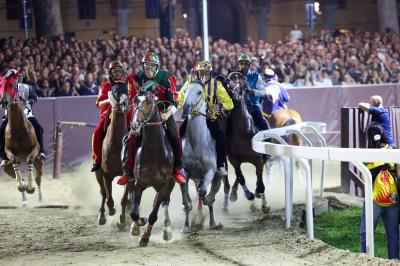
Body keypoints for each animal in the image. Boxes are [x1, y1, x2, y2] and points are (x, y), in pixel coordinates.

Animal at [130, 89, 175, 247]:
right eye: (134, 101)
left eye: (148, 102)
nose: (135, 125)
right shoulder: (138, 183)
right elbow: (134, 213)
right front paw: (139, 224)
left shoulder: (164, 185)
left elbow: (153, 215)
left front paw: (145, 237)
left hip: (170, 184)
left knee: (165, 202)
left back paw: (167, 229)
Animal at [180, 80, 223, 231]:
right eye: (185, 90)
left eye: (199, 92)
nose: (185, 108)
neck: (196, 143)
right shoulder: (185, 170)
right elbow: (185, 190)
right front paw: (186, 220)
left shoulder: (210, 171)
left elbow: (203, 192)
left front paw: (207, 200)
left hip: (217, 175)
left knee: (211, 191)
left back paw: (213, 222)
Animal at [225, 71, 268, 213]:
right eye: (229, 80)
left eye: (242, 81)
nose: (236, 93)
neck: (242, 130)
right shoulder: (233, 159)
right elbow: (240, 177)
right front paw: (249, 195)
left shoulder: (258, 159)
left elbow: (260, 181)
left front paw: (264, 204)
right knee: (239, 177)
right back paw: (234, 194)